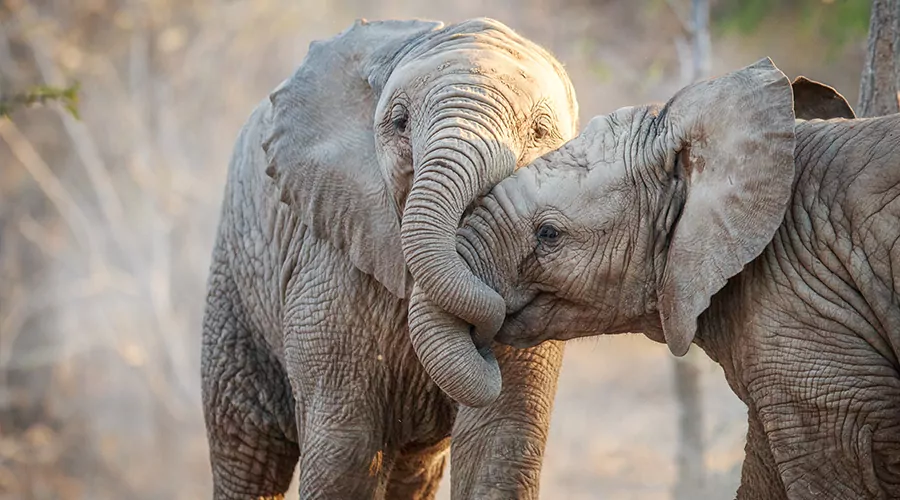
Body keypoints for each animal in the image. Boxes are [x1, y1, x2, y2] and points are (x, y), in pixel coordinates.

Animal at [200, 17, 579, 500]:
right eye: (400, 122)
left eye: (540, 132)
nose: (486, 327)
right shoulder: (328, 263)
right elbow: (346, 453)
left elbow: (499, 443)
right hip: (235, 278)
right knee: (246, 448)